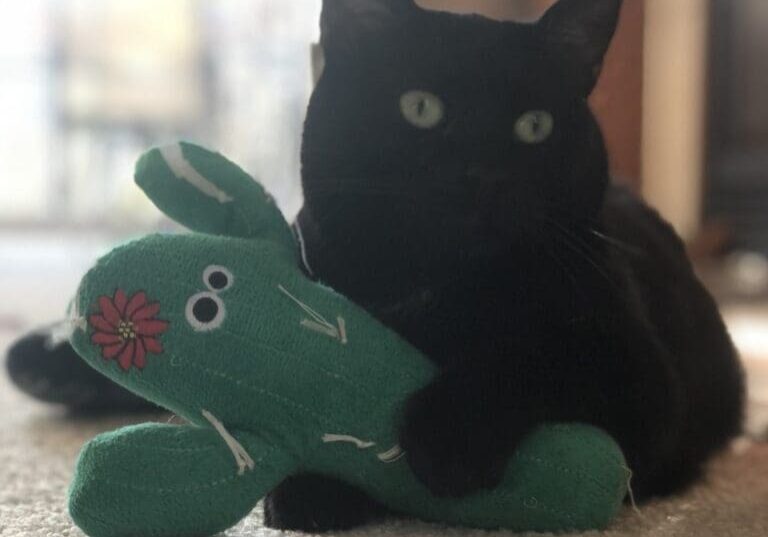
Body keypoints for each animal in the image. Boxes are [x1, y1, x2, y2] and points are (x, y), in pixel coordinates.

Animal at [264, 0, 744, 528]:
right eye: (420, 107)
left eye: (534, 125)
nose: (480, 175)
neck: (444, 289)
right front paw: (307, 489)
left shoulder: (645, 380)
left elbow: (532, 357)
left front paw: (450, 439)